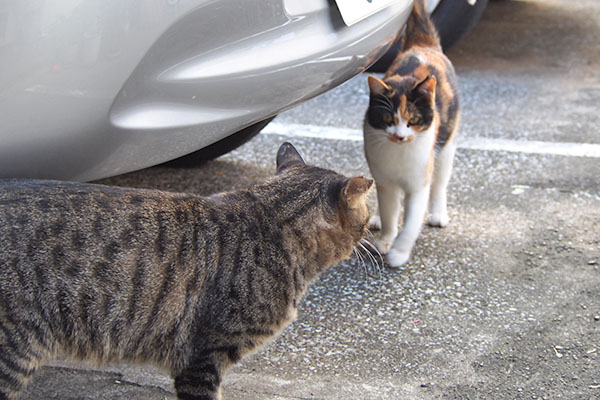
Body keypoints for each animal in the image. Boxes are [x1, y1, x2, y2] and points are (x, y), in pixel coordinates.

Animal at [366, 0, 460, 268]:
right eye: (388, 119)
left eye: (413, 121)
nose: (400, 136)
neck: (399, 153)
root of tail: (421, 46)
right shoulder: (385, 181)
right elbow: (390, 213)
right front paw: (386, 240)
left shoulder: (418, 185)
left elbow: (410, 224)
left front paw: (399, 252)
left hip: (446, 148)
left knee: (440, 184)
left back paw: (438, 213)